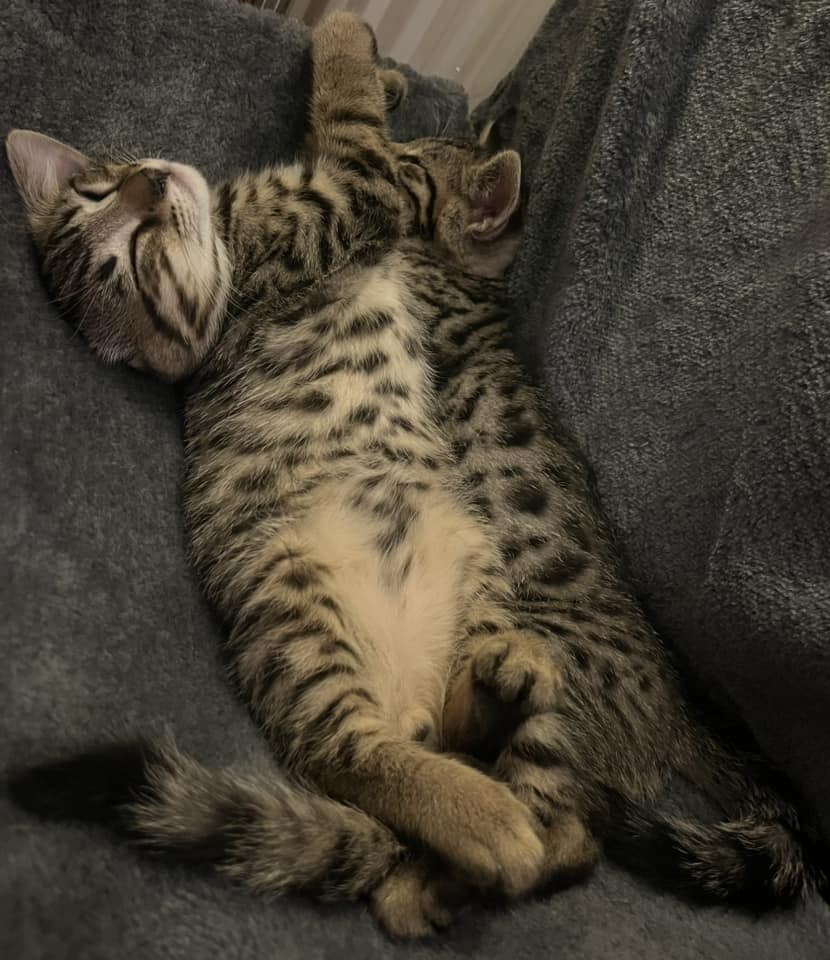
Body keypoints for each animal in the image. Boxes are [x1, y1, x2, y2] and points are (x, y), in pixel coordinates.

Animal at [4, 9, 824, 936]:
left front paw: (377, 66)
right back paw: (467, 843)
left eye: (101, 191)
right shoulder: (352, 195)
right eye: (130, 253)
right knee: (384, 765)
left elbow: (340, 122)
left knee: (522, 785)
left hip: (498, 613)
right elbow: (348, 120)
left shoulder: (340, 197)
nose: (148, 186)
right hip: (299, 615)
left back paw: (484, 746)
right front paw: (353, 44)